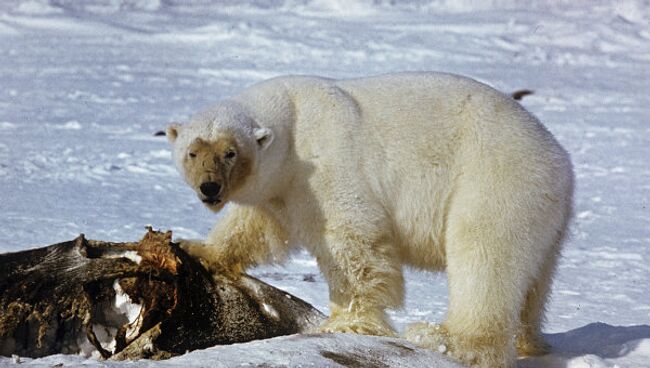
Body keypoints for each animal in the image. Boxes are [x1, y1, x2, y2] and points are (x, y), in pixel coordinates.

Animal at [167, 72, 572, 368]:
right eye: (193, 152)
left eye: (230, 152)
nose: (209, 187)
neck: (294, 122)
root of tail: (560, 162)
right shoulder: (280, 188)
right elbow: (255, 227)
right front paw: (194, 246)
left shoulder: (327, 165)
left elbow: (352, 238)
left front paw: (345, 322)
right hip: (543, 216)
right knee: (534, 281)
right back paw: (529, 341)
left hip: (495, 181)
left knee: (484, 260)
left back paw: (443, 339)